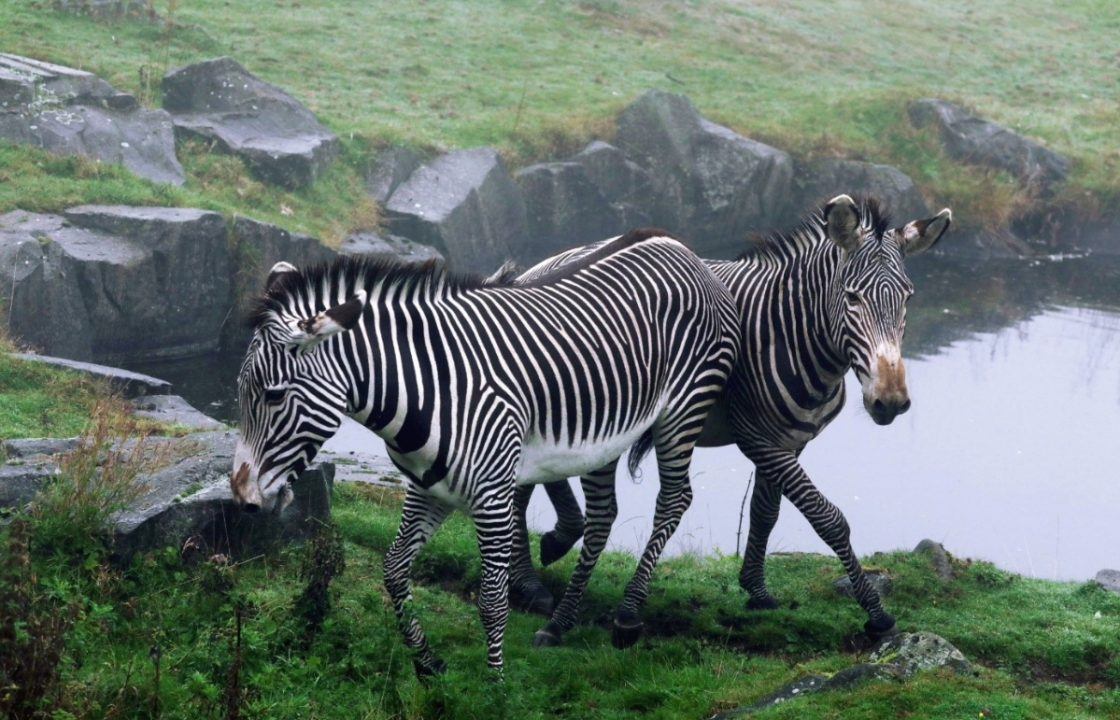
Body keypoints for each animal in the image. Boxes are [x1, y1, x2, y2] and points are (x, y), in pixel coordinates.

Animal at [230, 230, 739, 676]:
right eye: (240, 389)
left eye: (273, 396)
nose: (242, 498)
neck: (428, 386)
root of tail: (681, 247)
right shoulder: (427, 487)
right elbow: (394, 571)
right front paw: (428, 665)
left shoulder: (493, 495)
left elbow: (492, 600)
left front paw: (495, 688)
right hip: (607, 434)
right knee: (602, 516)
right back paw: (560, 624)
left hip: (684, 408)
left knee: (674, 499)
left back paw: (628, 617)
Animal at [512, 194, 949, 644]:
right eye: (852, 297)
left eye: (908, 298)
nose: (890, 401)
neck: (791, 334)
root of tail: (542, 265)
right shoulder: (758, 437)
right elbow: (826, 517)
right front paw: (876, 613)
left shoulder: (790, 441)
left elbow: (765, 511)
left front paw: (756, 589)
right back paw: (535, 577)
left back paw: (541, 563)